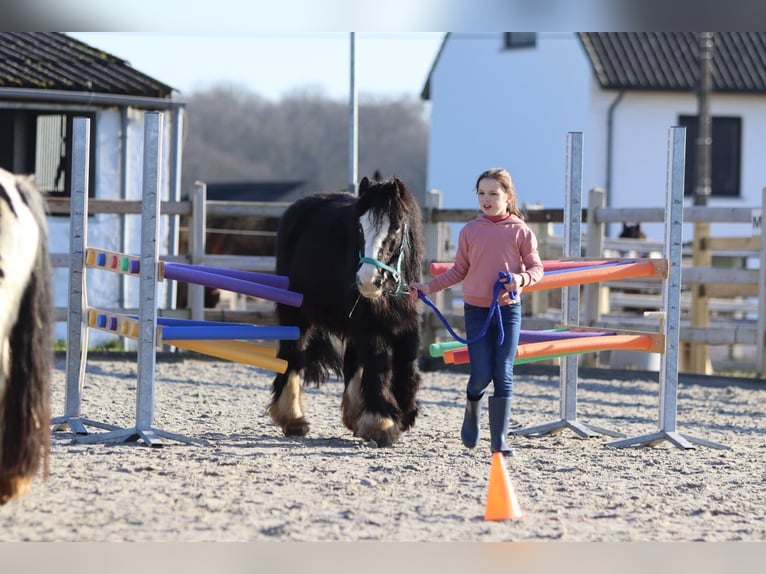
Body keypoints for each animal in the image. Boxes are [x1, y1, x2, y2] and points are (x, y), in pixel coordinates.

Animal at [270, 178, 426, 448]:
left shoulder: (406, 325)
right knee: (292, 356)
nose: (367, 281)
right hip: (296, 315)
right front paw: (381, 423)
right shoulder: (368, 326)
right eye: (360, 228)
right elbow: (377, 364)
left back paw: (353, 416)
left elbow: (406, 364)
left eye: (396, 227)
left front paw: (404, 412)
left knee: (351, 361)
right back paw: (293, 419)